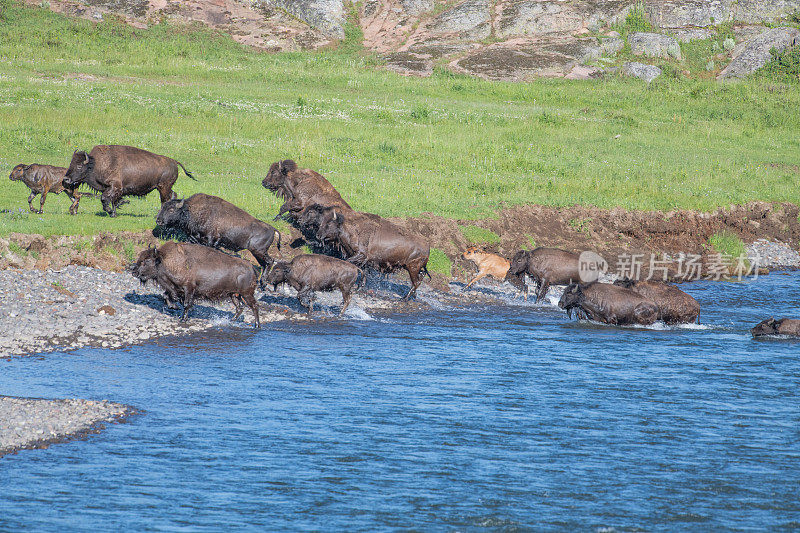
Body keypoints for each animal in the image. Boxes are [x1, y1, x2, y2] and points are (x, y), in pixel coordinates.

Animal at [62, 143, 197, 216]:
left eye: (79, 166)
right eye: (71, 164)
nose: (66, 179)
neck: (95, 163)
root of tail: (174, 161)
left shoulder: (115, 186)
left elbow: (105, 199)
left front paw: (111, 211)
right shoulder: (112, 189)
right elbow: (112, 200)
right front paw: (114, 212)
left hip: (163, 187)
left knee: (165, 200)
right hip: (164, 188)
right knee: (173, 195)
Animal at [129, 240, 260, 324]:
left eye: (146, 260)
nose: (134, 272)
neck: (166, 260)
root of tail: (251, 267)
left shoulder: (189, 289)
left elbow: (186, 304)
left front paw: (183, 319)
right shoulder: (174, 288)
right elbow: (167, 295)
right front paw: (173, 306)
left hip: (246, 294)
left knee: (254, 306)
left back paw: (256, 325)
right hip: (234, 295)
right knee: (240, 307)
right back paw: (232, 321)